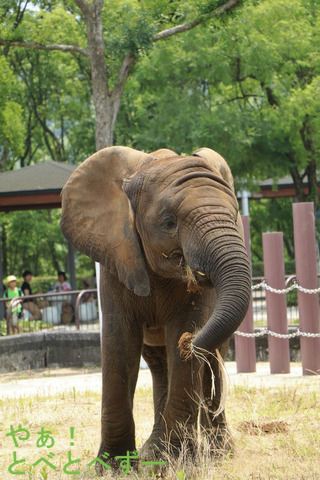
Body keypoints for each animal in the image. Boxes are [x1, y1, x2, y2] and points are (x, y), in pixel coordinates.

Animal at [59, 146, 250, 472]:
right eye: (169, 222)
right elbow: (119, 343)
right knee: (164, 365)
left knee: (209, 362)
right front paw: (114, 468)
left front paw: (177, 464)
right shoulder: (116, 259)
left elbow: (186, 341)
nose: (190, 343)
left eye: (235, 215)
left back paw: (216, 454)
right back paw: (154, 453)